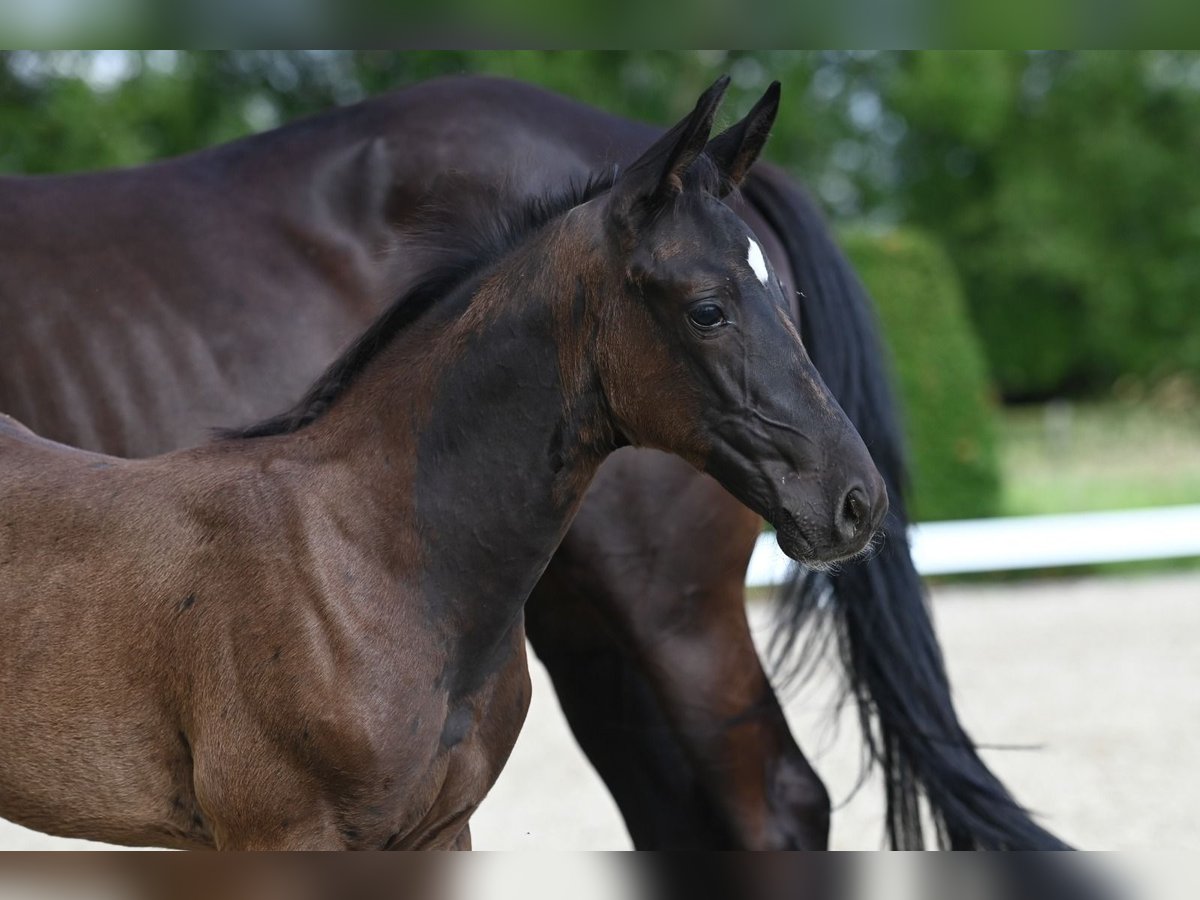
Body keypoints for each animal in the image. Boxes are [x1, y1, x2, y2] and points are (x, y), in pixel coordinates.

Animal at [0, 74, 1070, 849]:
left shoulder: (437, 831)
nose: (855, 501)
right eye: (708, 308)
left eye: (781, 292)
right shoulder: (277, 836)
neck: (364, 555)